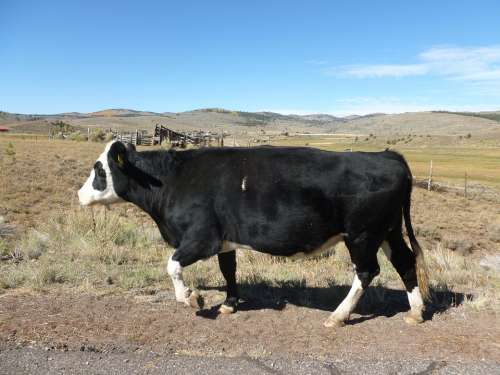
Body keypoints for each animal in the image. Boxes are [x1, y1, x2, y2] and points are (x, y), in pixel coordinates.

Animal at [78, 142, 430, 328]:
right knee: (405, 262)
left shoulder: (201, 237)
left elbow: (172, 265)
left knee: (367, 271)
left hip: (361, 235)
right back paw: (416, 312)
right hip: (387, 231)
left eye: (99, 169)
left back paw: (338, 316)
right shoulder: (224, 239)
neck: (173, 179)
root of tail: (385, 155)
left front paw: (191, 298)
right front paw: (228, 304)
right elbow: (229, 270)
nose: (80, 194)